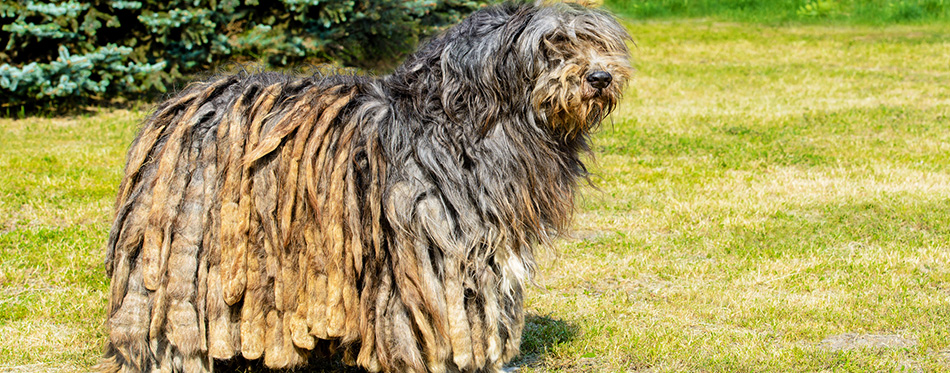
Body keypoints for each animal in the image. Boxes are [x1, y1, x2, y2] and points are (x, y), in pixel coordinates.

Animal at [102, 2, 632, 370]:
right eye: (551, 46)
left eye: (595, 42)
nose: (600, 76)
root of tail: (182, 105)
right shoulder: (428, 246)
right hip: (183, 250)